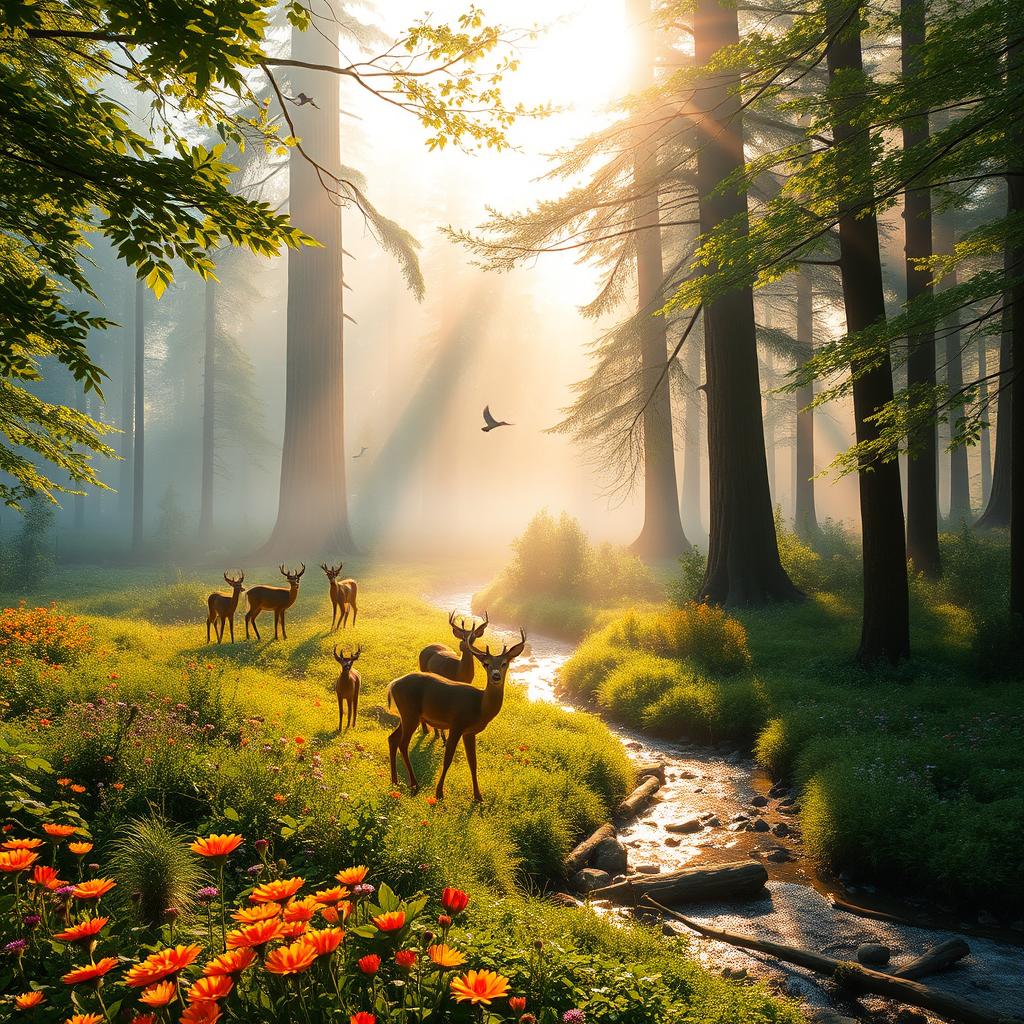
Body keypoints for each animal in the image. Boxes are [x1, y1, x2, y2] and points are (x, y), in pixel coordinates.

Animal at [385, 622, 528, 798]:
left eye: (504, 663)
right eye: (486, 663)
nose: (496, 676)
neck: (480, 706)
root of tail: (393, 684)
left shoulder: (469, 732)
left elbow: (473, 762)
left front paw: (478, 796)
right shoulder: (457, 723)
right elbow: (448, 758)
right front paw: (439, 792)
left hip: (406, 715)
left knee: (392, 738)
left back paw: (395, 781)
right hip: (410, 712)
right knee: (403, 744)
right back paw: (414, 783)